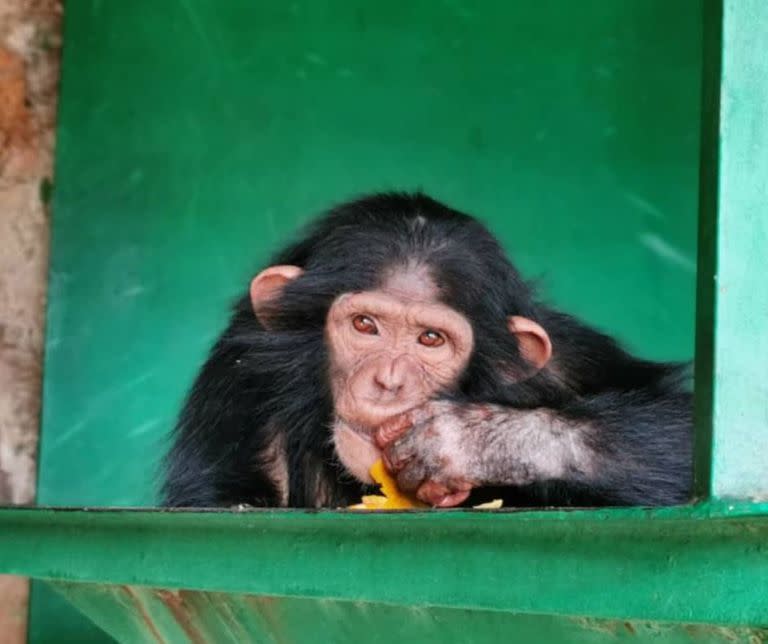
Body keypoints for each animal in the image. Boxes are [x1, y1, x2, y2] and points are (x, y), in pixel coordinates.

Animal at [159, 191, 692, 508]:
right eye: (365, 326)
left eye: (430, 339)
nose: (389, 381)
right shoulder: (239, 373)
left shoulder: (565, 360)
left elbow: (686, 424)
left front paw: (471, 442)